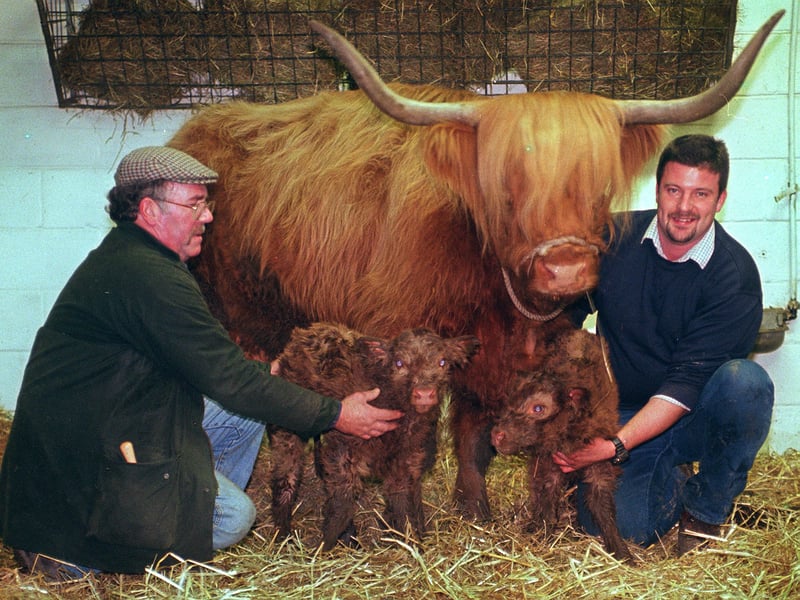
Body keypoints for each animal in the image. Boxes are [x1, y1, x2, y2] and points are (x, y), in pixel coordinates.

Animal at [169, 12, 784, 520]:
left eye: (598, 186)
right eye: (508, 191)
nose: (566, 271)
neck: (501, 296)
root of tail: (200, 126)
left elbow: (474, 433)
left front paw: (475, 504)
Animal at [269, 322, 480, 549]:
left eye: (442, 362)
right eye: (399, 362)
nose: (424, 393)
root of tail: (309, 331)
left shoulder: (408, 457)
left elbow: (404, 501)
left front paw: (412, 541)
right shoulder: (342, 450)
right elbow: (343, 503)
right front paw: (323, 547)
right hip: (287, 425)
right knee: (286, 477)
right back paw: (283, 535)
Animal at [491, 327, 630, 561]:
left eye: (538, 408)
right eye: (511, 401)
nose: (496, 435)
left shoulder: (600, 466)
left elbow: (604, 509)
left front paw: (622, 552)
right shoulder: (547, 463)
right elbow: (547, 504)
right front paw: (544, 539)